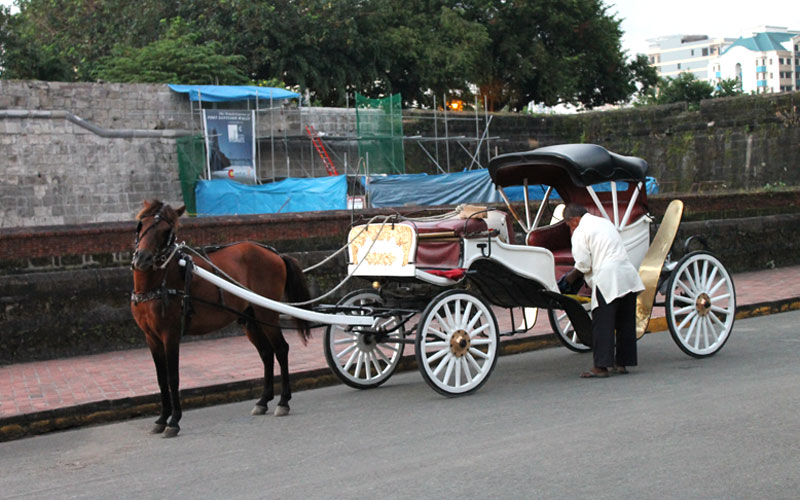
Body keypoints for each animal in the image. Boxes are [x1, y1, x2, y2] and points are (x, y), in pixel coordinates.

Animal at [130, 199, 310, 438]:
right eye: (141, 224)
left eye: (167, 231)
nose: (142, 259)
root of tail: (275, 254)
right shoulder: (151, 337)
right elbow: (160, 379)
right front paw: (161, 418)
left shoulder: (170, 334)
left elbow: (173, 378)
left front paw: (174, 420)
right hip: (251, 318)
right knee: (266, 353)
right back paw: (263, 400)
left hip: (266, 312)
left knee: (281, 349)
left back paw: (283, 401)